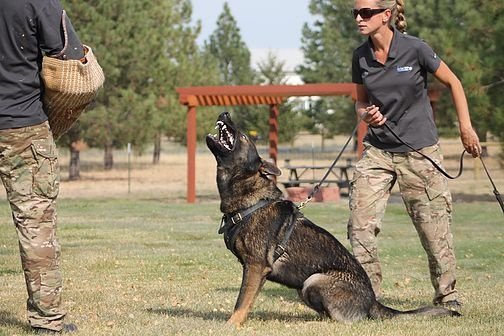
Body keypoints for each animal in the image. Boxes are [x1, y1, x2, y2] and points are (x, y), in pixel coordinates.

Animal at [206, 112, 460, 326]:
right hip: (304, 286)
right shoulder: (254, 269)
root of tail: (373, 302)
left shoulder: (255, 266)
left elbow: (241, 302)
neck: (250, 202)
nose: (225, 113)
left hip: (314, 280)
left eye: (243, 137)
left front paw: (230, 326)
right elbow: (246, 301)